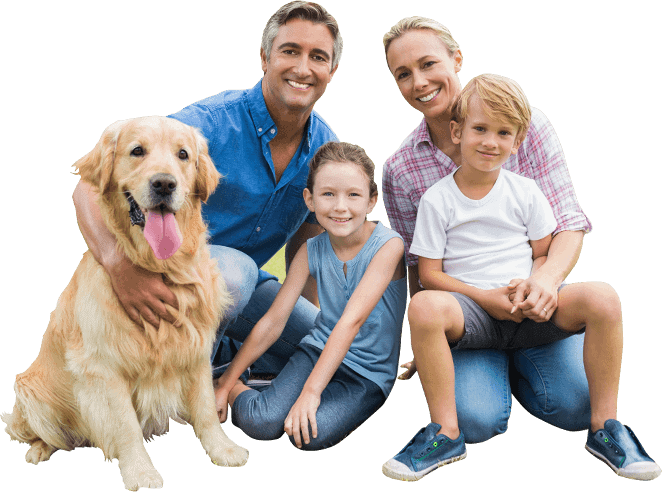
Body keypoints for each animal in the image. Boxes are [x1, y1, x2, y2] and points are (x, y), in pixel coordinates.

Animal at [1, 116, 249, 490]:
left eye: (183, 154)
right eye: (137, 151)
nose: (164, 184)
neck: (160, 266)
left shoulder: (196, 348)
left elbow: (205, 408)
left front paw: (222, 449)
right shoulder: (104, 366)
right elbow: (125, 425)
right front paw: (140, 473)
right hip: (30, 393)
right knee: (39, 433)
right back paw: (39, 450)